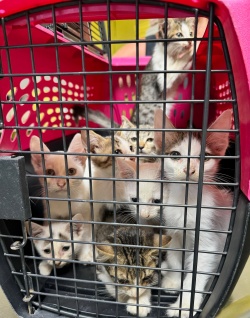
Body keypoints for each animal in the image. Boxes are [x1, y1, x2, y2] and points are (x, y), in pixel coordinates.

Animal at [153, 108, 233, 316]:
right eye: (175, 154)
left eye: (205, 156)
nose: (189, 169)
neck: (186, 202)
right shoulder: (174, 231)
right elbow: (175, 257)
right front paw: (173, 280)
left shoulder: (208, 239)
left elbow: (196, 276)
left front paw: (183, 306)